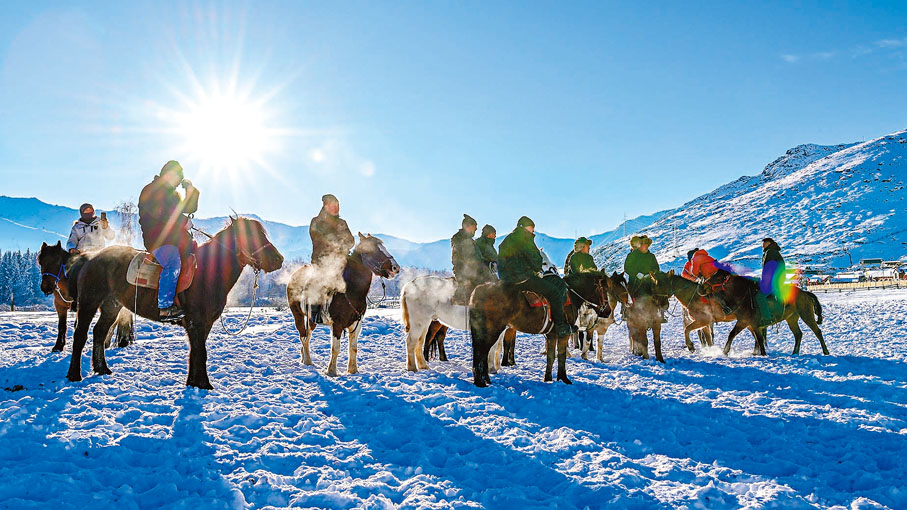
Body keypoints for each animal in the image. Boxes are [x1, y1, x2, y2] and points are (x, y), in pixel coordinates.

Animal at [66, 215, 284, 386]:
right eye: (252, 236)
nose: (278, 260)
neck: (206, 272)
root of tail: (90, 258)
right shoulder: (196, 322)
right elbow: (200, 352)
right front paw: (204, 385)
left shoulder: (204, 324)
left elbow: (196, 352)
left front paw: (193, 383)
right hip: (89, 303)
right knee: (80, 335)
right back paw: (74, 374)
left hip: (112, 305)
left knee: (99, 332)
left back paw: (102, 368)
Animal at [288, 233, 400, 376]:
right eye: (373, 250)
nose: (396, 268)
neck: (349, 291)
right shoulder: (337, 325)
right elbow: (335, 348)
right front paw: (331, 371)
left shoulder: (357, 324)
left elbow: (353, 348)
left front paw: (353, 370)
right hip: (298, 315)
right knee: (303, 336)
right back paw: (308, 361)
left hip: (311, 319)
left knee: (307, 337)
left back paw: (304, 359)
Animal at [472, 270, 612, 386]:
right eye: (603, 289)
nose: (608, 311)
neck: (571, 297)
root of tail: (481, 289)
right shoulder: (564, 334)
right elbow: (561, 356)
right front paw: (564, 378)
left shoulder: (552, 335)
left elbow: (551, 356)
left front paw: (548, 378)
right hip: (493, 330)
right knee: (482, 351)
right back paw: (481, 381)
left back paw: (483, 379)